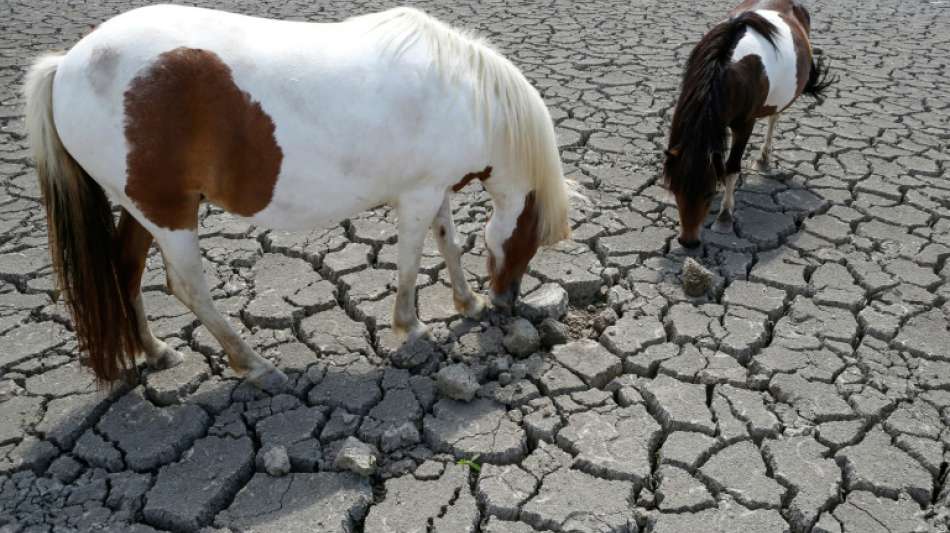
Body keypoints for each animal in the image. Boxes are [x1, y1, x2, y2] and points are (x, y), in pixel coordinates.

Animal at [22, 3, 572, 386]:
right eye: (533, 239)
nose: (507, 301)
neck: (463, 93)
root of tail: (67, 64)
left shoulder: (435, 190)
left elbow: (448, 244)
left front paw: (466, 302)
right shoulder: (417, 196)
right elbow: (411, 262)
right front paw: (412, 327)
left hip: (142, 208)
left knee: (126, 269)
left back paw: (155, 350)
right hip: (169, 214)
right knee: (188, 286)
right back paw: (253, 364)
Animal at [664, 0, 836, 245]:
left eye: (708, 193)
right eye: (675, 189)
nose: (688, 242)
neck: (726, 68)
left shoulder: (744, 125)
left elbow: (731, 168)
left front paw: (724, 217)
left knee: (774, 118)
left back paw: (763, 159)